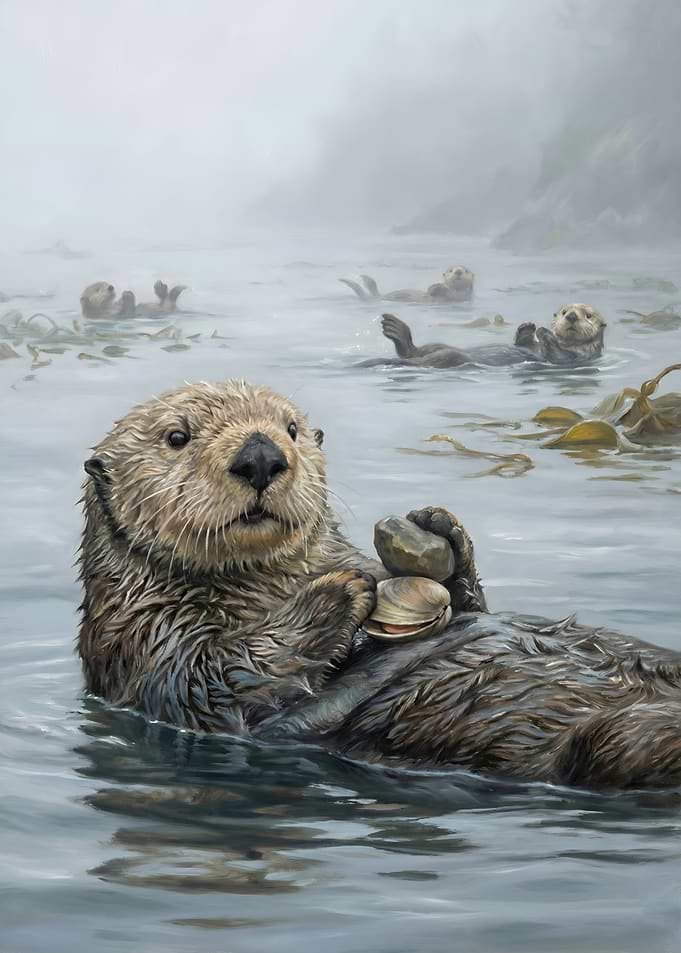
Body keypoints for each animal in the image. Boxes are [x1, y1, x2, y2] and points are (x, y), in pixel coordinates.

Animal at [79, 380, 681, 789]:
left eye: (292, 429)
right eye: (177, 437)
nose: (261, 454)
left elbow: (469, 608)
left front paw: (442, 530)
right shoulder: (145, 643)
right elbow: (217, 679)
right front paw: (338, 593)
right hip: (610, 741)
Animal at [340, 266, 474, 303]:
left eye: (466, 270)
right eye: (451, 270)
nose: (458, 271)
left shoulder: (459, 297)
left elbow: (450, 294)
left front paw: (437, 287)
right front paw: (432, 287)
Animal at [360, 307, 605, 369]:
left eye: (588, 315)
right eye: (564, 311)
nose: (571, 316)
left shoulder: (578, 357)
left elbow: (558, 355)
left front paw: (545, 332)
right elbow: (523, 343)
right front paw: (527, 328)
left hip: (452, 357)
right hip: (435, 346)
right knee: (414, 350)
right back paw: (396, 329)